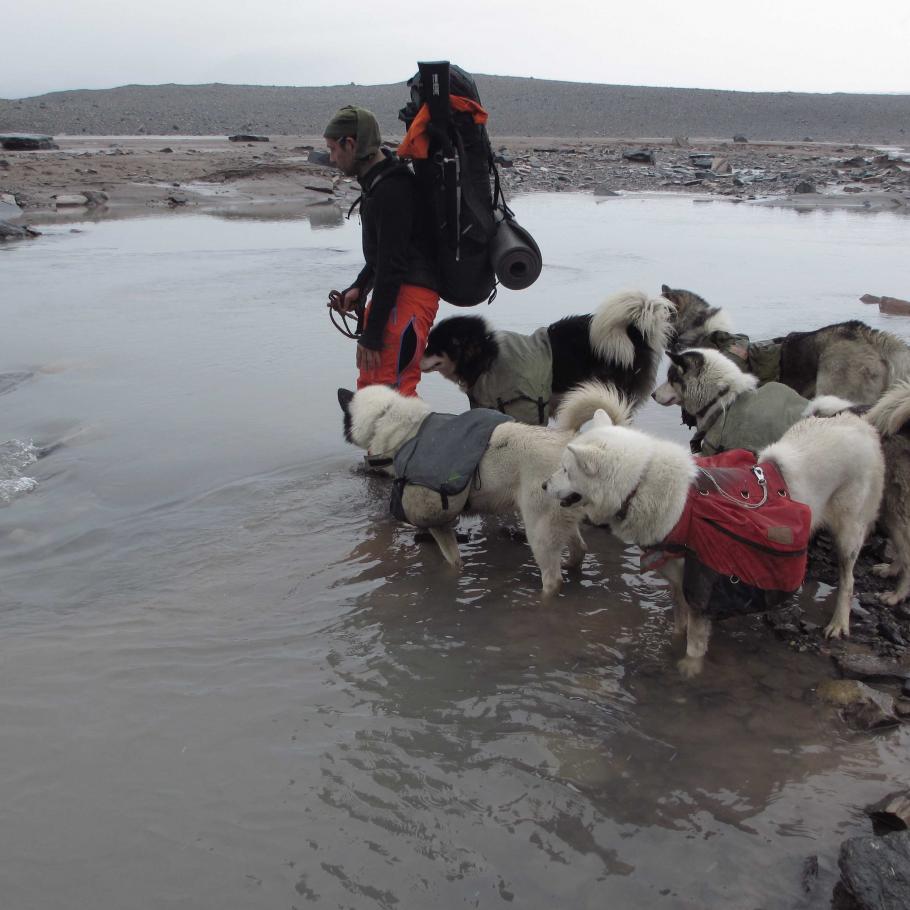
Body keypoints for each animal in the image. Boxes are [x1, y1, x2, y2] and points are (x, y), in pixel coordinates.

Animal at [336, 382, 636, 596]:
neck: (392, 422)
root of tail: (571, 441)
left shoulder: (440, 524)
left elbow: (453, 562)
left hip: (539, 528)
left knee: (553, 579)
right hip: (559, 519)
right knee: (579, 550)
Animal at [544, 406, 888, 676]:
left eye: (565, 470)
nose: (545, 485)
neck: (639, 484)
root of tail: (860, 423)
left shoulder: (702, 588)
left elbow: (696, 640)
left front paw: (689, 669)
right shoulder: (678, 581)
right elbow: (680, 625)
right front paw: (671, 647)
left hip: (848, 533)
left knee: (848, 580)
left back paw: (839, 623)